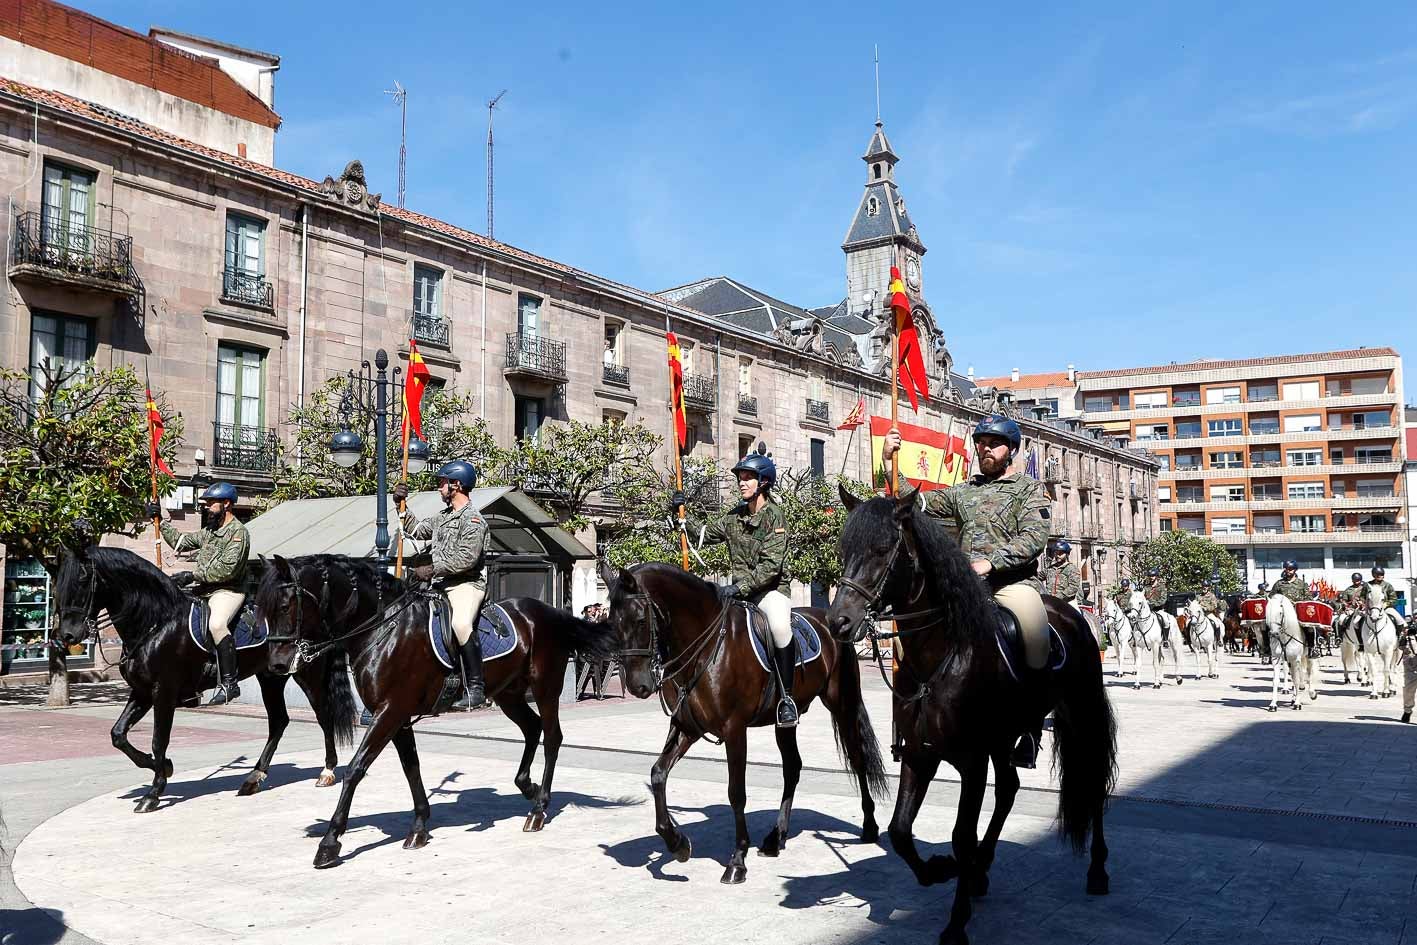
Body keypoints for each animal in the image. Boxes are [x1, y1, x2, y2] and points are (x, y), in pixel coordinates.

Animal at [55, 546, 357, 816]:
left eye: (82, 581)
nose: (67, 636)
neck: (157, 622)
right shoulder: (141, 692)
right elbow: (118, 735)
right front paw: (162, 767)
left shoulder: (163, 693)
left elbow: (158, 740)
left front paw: (154, 791)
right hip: (271, 677)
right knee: (279, 721)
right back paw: (254, 777)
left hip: (307, 673)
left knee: (323, 715)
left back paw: (327, 771)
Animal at [256, 555, 620, 872]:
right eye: (263, 609)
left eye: (285, 606)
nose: (276, 664)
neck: (384, 629)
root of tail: (547, 611)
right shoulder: (398, 716)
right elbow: (411, 767)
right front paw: (419, 825)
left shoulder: (389, 712)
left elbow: (357, 768)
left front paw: (330, 843)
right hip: (509, 695)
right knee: (532, 729)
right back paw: (526, 788)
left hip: (545, 689)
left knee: (552, 737)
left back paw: (540, 808)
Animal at [597, 561, 884, 889]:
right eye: (611, 622)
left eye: (640, 619)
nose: (638, 686)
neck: (706, 646)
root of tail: (830, 619)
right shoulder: (687, 727)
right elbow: (658, 774)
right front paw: (677, 843)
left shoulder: (734, 730)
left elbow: (736, 793)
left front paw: (737, 861)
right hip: (785, 722)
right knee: (792, 768)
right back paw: (776, 837)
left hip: (842, 704)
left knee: (858, 759)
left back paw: (869, 825)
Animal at [827, 487, 1116, 945]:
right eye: (843, 549)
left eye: (882, 549)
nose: (839, 621)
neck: (940, 656)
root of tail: (1074, 615)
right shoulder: (919, 754)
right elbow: (900, 830)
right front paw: (939, 870)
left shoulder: (972, 761)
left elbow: (961, 835)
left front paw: (955, 922)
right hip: (1004, 737)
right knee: (1010, 789)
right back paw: (981, 870)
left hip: (1079, 715)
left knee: (1091, 780)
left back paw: (1097, 869)